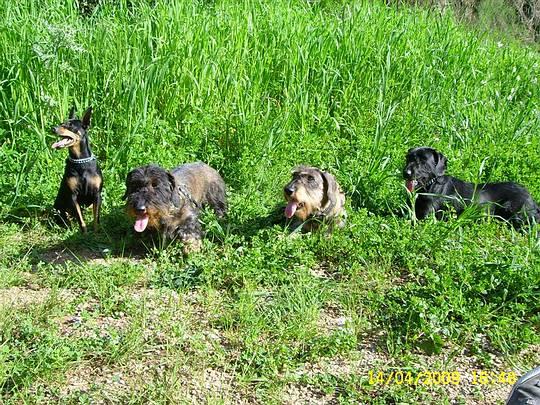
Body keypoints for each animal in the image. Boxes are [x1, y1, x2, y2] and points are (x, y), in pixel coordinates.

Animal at [402, 147, 536, 226]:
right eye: (408, 158)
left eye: (423, 161)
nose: (405, 173)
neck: (430, 186)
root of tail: (530, 197)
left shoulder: (426, 216)